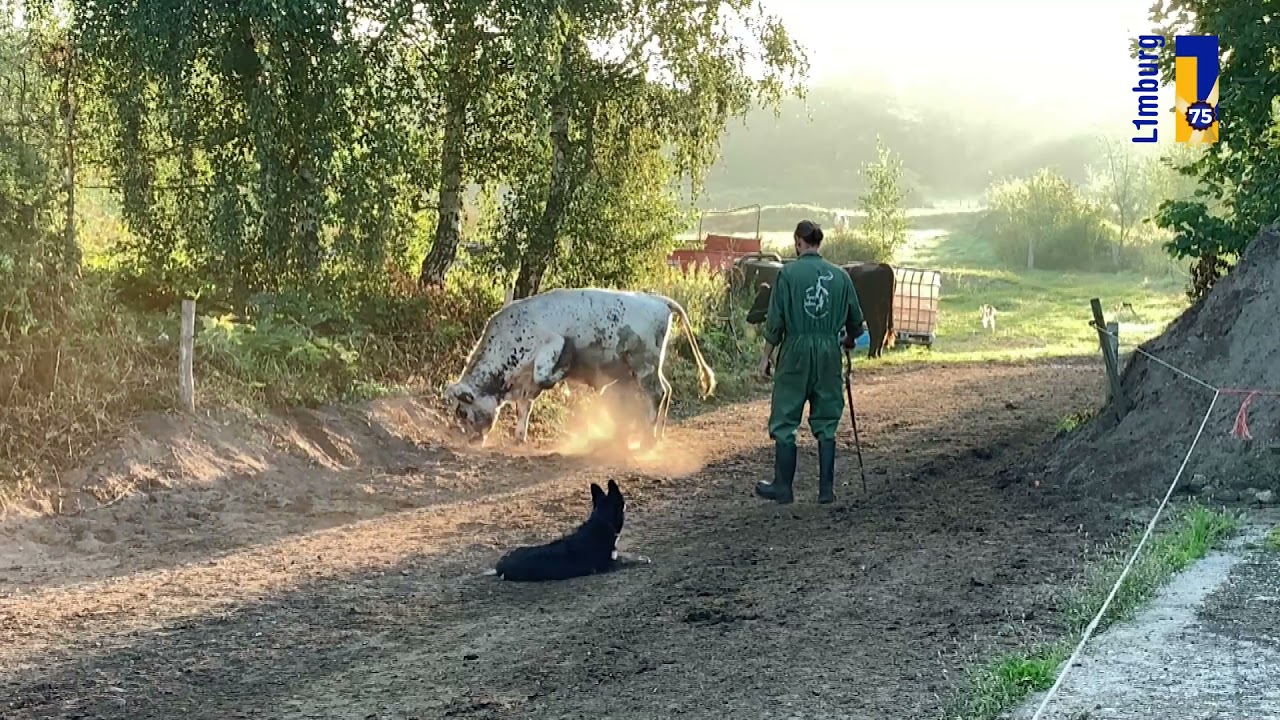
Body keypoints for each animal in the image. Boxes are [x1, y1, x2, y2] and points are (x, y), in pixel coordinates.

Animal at [443, 288, 717, 447]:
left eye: (463, 412)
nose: (472, 439)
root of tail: (656, 299)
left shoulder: (552, 345)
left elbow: (544, 376)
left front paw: (565, 368)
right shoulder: (524, 385)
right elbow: (524, 409)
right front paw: (519, 438)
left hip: (644, 364)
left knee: (657, 394)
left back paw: (647, 438)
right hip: (646, 367)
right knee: (667, 390)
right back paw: (655, 435)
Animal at [745, 261, 897, 359]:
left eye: (760, 299)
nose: (748, 316)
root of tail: (881, 265)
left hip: (872, 311)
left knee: (876, 329)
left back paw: (872, 354)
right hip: (883, 309)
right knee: (882, 329)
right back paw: (877, 353)